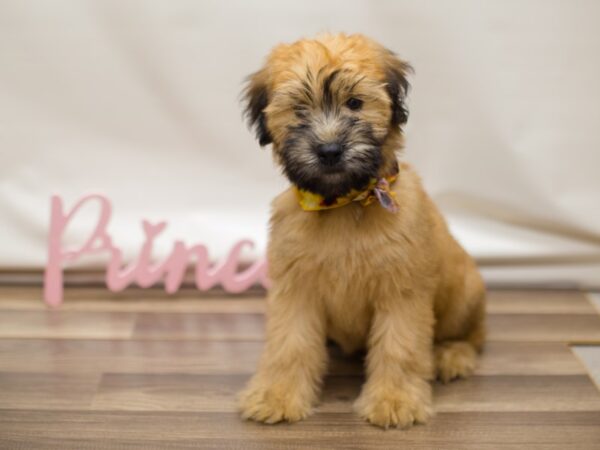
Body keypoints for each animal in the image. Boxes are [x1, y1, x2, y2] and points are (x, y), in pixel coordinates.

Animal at [237, 32, 486, 428]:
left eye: (355, 103)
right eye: (299, 110)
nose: (329, 150)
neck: (343, 202)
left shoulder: (402, 291)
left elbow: (400, 347)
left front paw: (395, 401)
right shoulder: (295, 288)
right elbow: (288, 344)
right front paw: (276, 396)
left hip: (463, 291)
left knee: (473, 335)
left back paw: (451, 355)